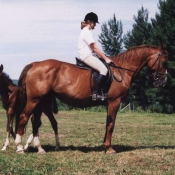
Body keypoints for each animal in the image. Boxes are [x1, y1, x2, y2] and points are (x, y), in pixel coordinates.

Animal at [14, 44, 167, 154]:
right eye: (164, 61)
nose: (163, 82)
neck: (122, 70)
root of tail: (35, 64)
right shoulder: (115, 101)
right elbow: (111, 124)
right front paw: (109, 148)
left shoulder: (109, 103)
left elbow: (107, 123)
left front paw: (105, 146)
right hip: (34, 100)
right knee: (23, 117)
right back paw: (20, 147)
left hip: (40, 101)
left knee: (35, 122)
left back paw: (39, 148)